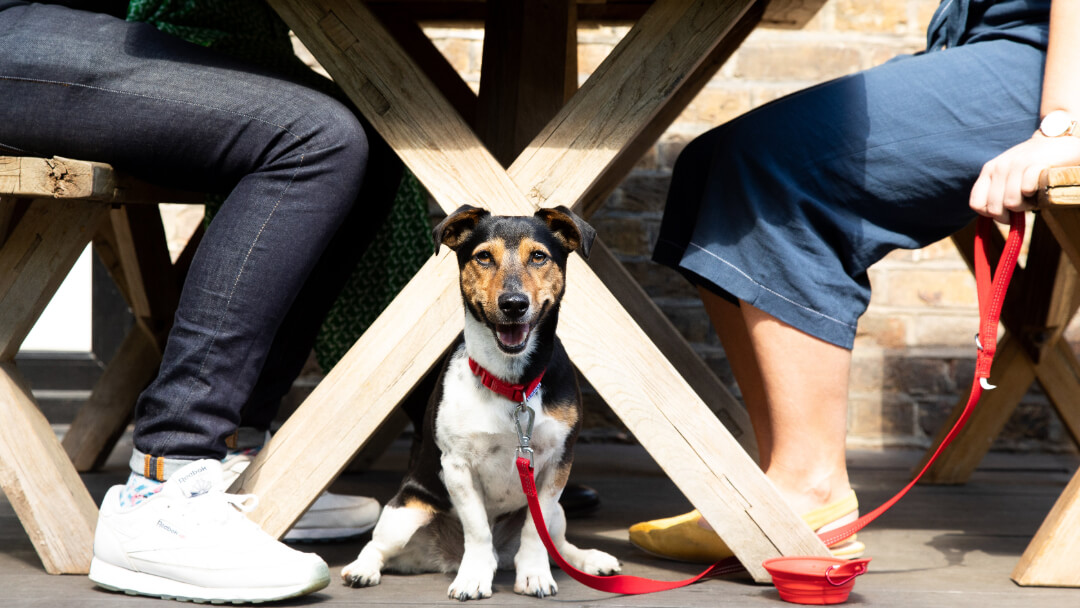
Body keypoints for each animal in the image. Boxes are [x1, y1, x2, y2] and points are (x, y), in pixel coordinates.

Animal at [341, 204, 622, 600]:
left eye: (539, 256)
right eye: (484, 257)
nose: (514, 304)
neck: (513, 384)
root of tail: (443, 557)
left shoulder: (558, 464)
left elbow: (534, 533)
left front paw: (534, 575)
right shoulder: (457, 465)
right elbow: (476, 530)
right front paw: (473, 577)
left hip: (558, 513)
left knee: (558, 545)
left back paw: (589, 560)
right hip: (404, 512)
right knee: (377, 546)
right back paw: (363, 570)